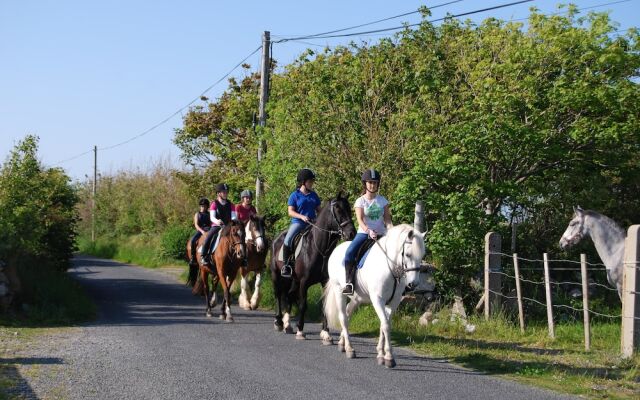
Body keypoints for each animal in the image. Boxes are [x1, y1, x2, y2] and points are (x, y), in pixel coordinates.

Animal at [322, 223, 428, 368]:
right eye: (408, 254)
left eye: (422, 255)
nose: (413, 284)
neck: (391, 270)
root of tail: (336, 250)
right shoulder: (378, 300)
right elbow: (386, 325)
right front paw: (389, 358)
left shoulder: (394, 301)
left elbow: (384, 324)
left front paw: (381, 354)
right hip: (339, 291)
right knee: (343, 317)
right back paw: (350, 349)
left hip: (357, 298)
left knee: (348, 314)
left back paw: (342, 344)